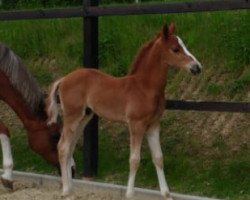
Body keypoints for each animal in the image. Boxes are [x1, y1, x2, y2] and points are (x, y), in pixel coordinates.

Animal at [47, 22, 202, 199]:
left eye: (184, 45)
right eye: (176, 49)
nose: (197, 67)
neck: (144, 87)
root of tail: (64, 78)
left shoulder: (154, 124)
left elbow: (158, 157)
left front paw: (166, 193)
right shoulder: (136, 124)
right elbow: (134, 159)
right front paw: (129, 193)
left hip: (85, 117)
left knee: (70, 146)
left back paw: (71, 188)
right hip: (72, 116)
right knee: (63, 146)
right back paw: (66, 189)